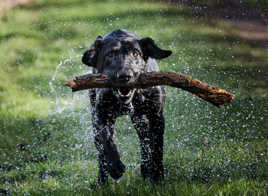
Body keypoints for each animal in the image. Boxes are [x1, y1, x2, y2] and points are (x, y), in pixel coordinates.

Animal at [81, 29, 172, 184]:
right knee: (100, 151)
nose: (125, 76)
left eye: (135, 53)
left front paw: (158, 176)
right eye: (110, 55)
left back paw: (146, 169)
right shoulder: (102, 116)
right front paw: (115, 167)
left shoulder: (157, 117)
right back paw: (102, 181)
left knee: (145, 141)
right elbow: (107, 140)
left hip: (141, 120)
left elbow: (156, 147)